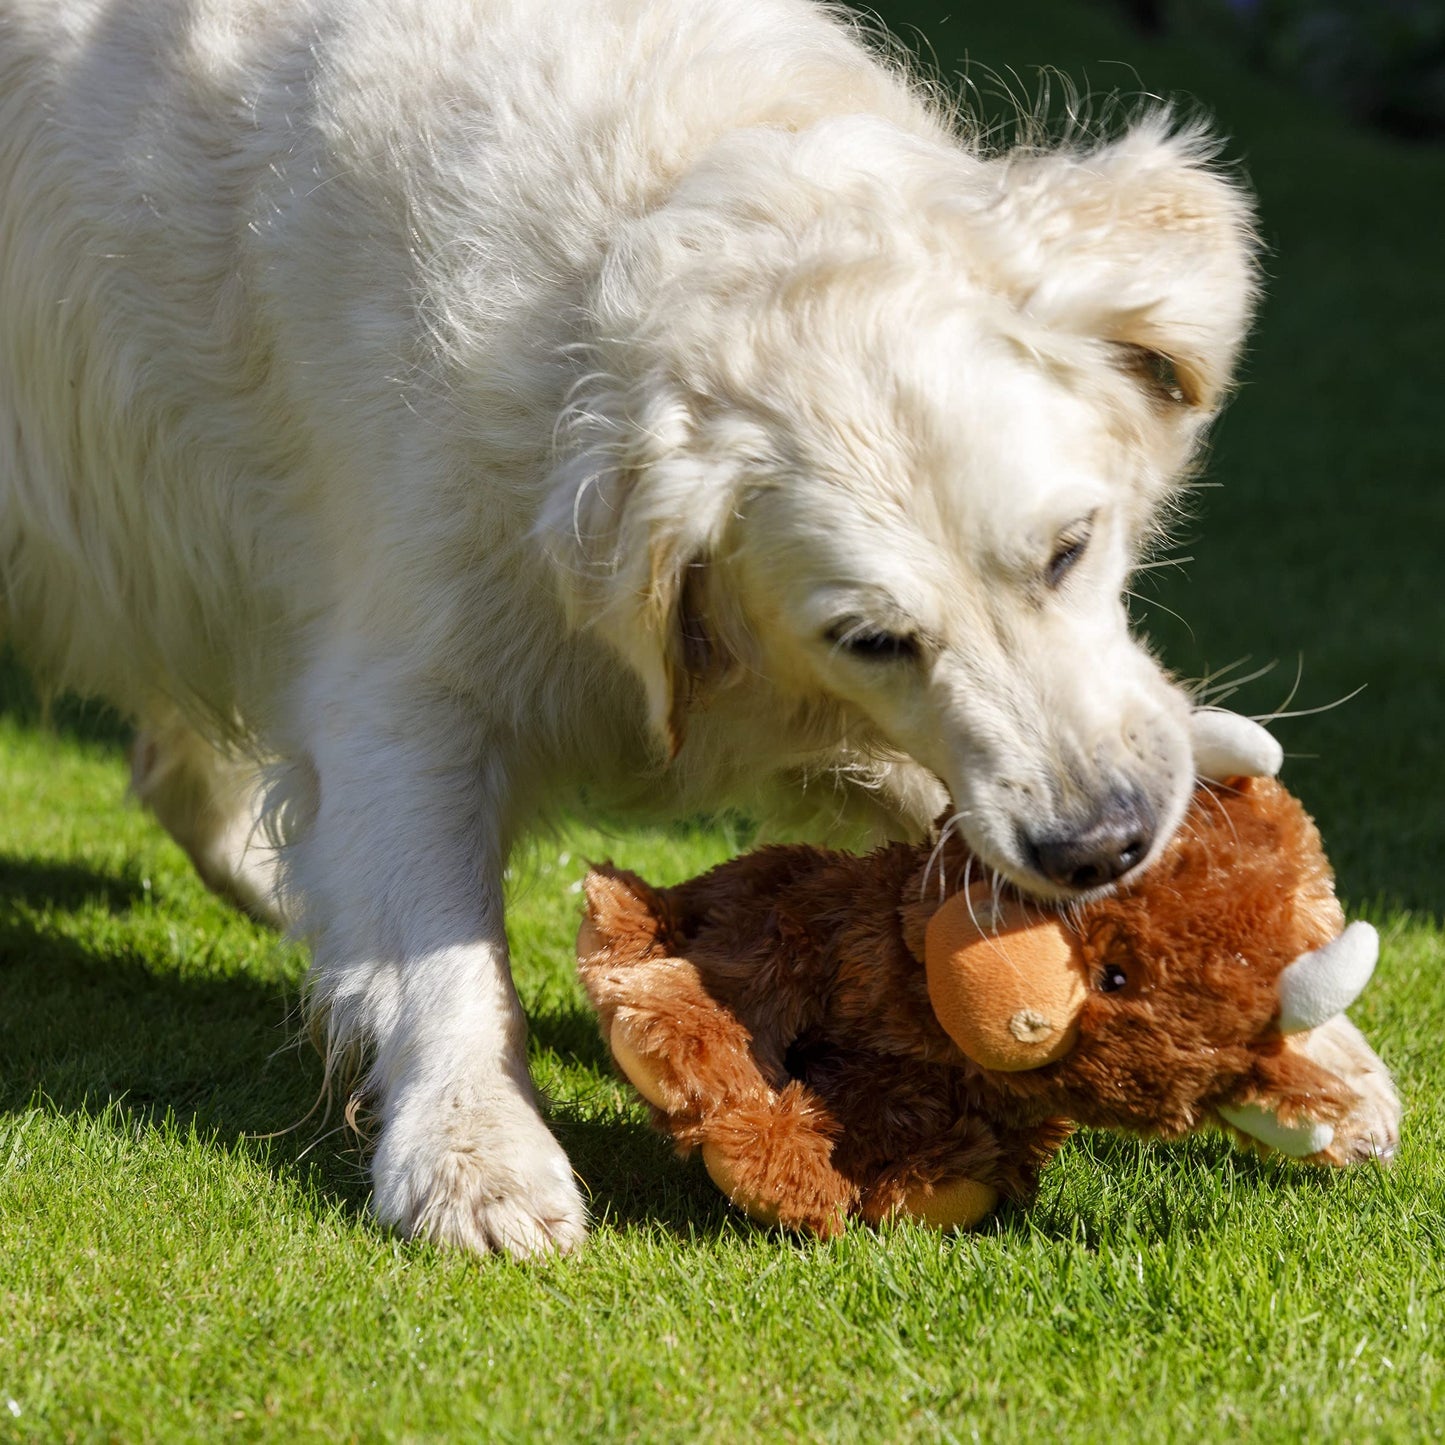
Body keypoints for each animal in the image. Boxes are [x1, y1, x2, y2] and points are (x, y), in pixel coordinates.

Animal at [0, 0, 1398, 1254]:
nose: (1098, 844)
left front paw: (1310, 1051)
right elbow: (446, 944)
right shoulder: (406, 675)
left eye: (1068, 548)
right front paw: (472, 1151)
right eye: (871, 637)